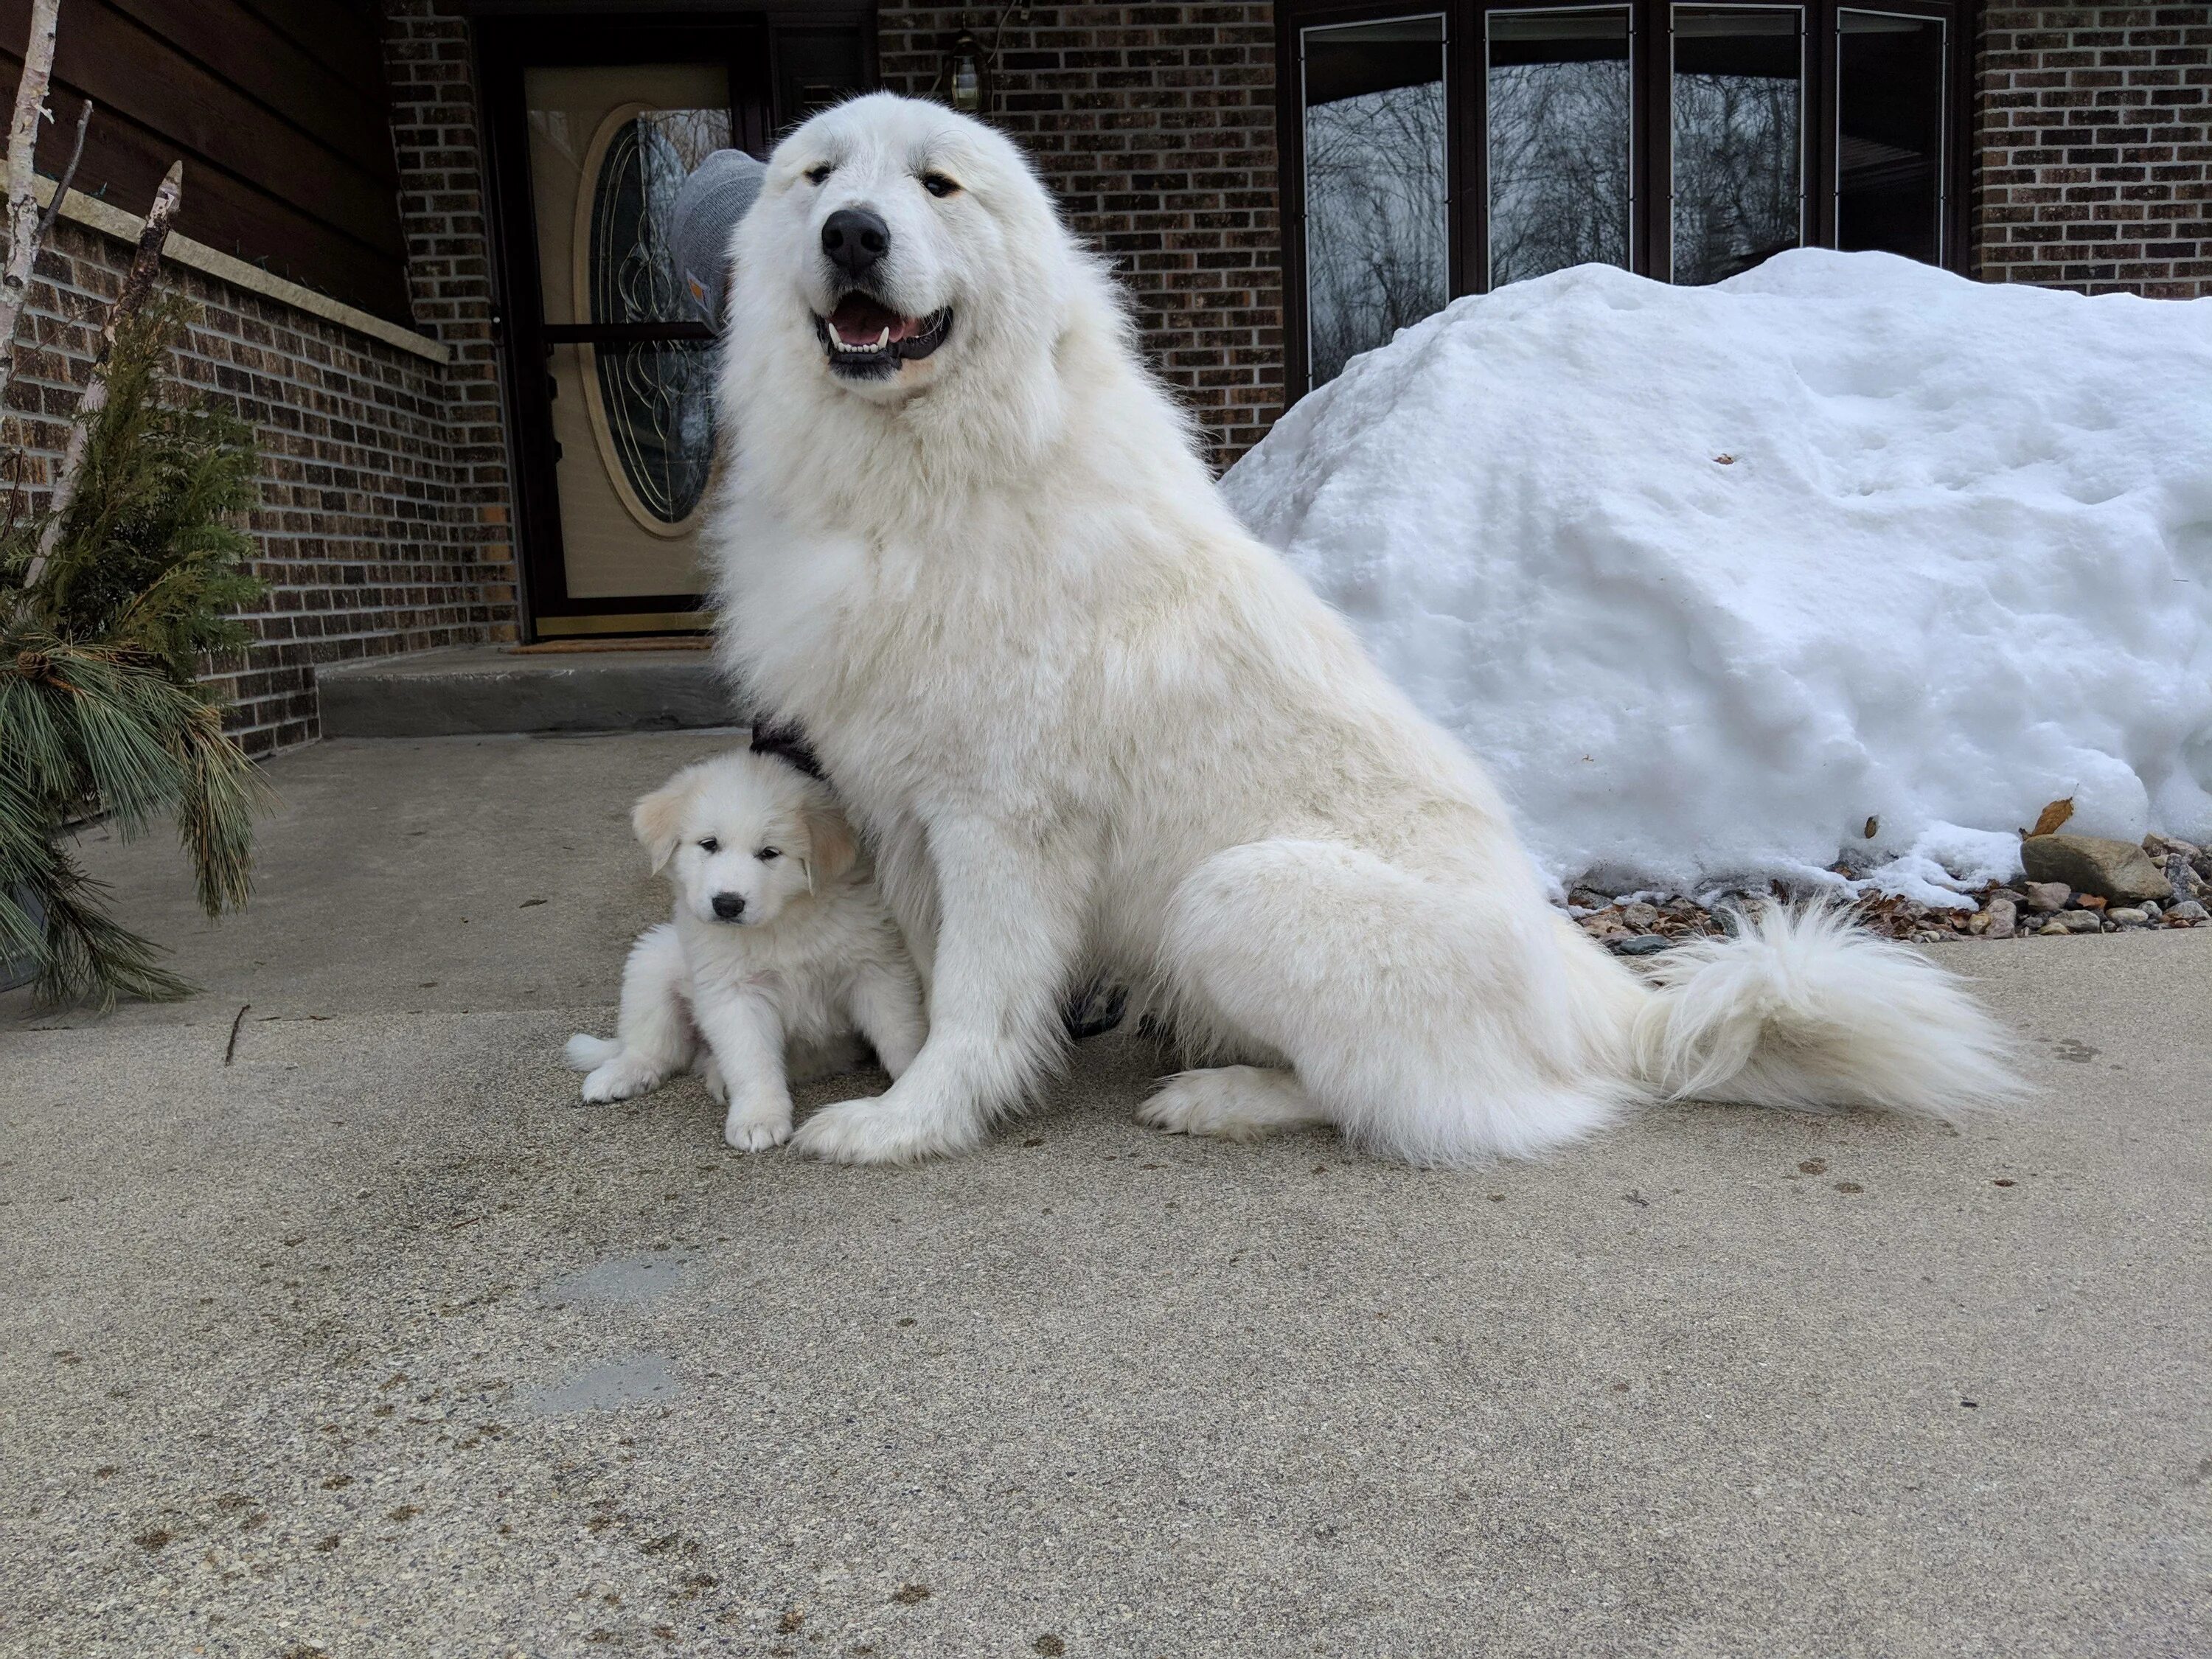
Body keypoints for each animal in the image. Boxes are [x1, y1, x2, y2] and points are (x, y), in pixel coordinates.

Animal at [571, 752, 925, 1159]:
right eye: (709, 844)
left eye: (769, 853)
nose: (727, 904)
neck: (783, 921)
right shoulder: (734, 992)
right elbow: (752, 1060)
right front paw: (758, 1119)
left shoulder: (874, 970)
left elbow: (900, 1033)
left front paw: (913, 1092)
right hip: (653, 960)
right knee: (653, 1049)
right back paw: (618, 1076)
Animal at [708, 94, 2026, 1168]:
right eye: (819, 176)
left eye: (936, 185)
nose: (853, 235)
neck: (931, 472)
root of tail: (1592, 996)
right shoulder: (908, 811)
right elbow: (933, 983)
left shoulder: (1002, 822)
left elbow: (976, 1002)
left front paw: (912, 1121)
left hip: (1231, 892)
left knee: (1416, 1100)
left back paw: (1224, 1097)